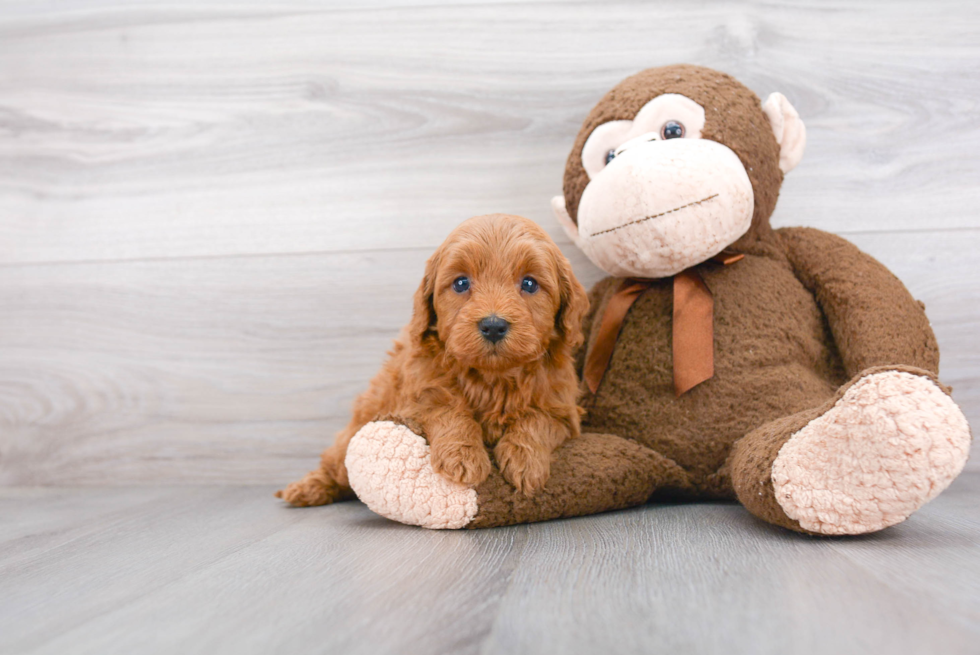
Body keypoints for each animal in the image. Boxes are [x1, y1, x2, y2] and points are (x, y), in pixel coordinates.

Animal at [274, 215, 588, 508]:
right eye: (461, 283)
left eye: (530, 284)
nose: (493, 325)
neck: (492, 376)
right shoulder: (417, 397)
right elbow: (447, 409)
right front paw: (462, 456)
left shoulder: (563, 410)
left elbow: (537, 419)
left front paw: (525, 461)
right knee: (335, 465)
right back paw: (306, 489)